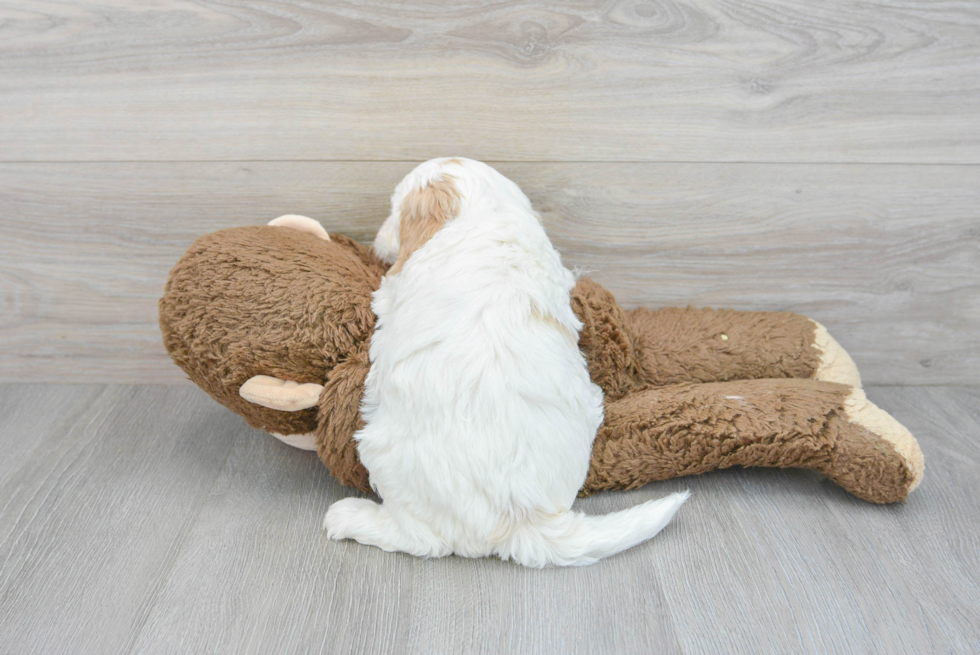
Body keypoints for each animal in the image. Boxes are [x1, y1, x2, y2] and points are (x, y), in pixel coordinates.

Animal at [326, 159, 684, 568]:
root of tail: (523, 517)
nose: (376, 240)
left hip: (383, 458)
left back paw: (348, 517)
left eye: (395, 211)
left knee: (422, 539)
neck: (488, 215)